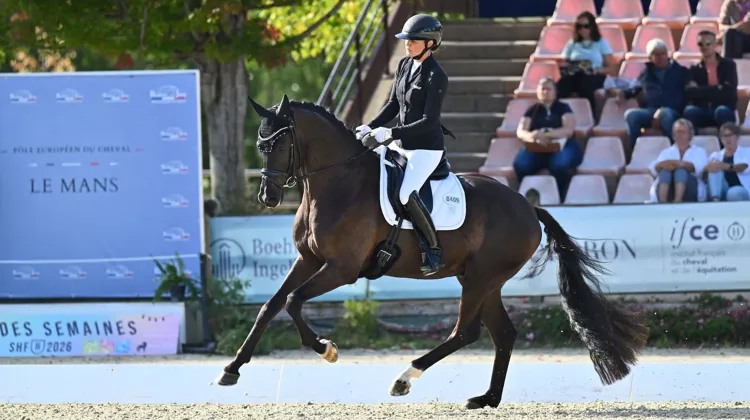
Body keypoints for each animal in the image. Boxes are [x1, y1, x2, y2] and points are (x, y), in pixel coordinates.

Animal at [214, 94, 649, 409]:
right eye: (260, 144)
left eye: (279, 143)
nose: (267, 197)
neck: (338, 183)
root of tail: (528, 206)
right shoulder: (309, 260)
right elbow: (270, 306)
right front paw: (232, 369)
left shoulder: (341, 268)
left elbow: (292, 301)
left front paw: (327, 349)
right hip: (481, 279)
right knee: (503, 334)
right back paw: (486, 399)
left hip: (480, 279)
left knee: (465, 331)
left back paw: (404, 378)